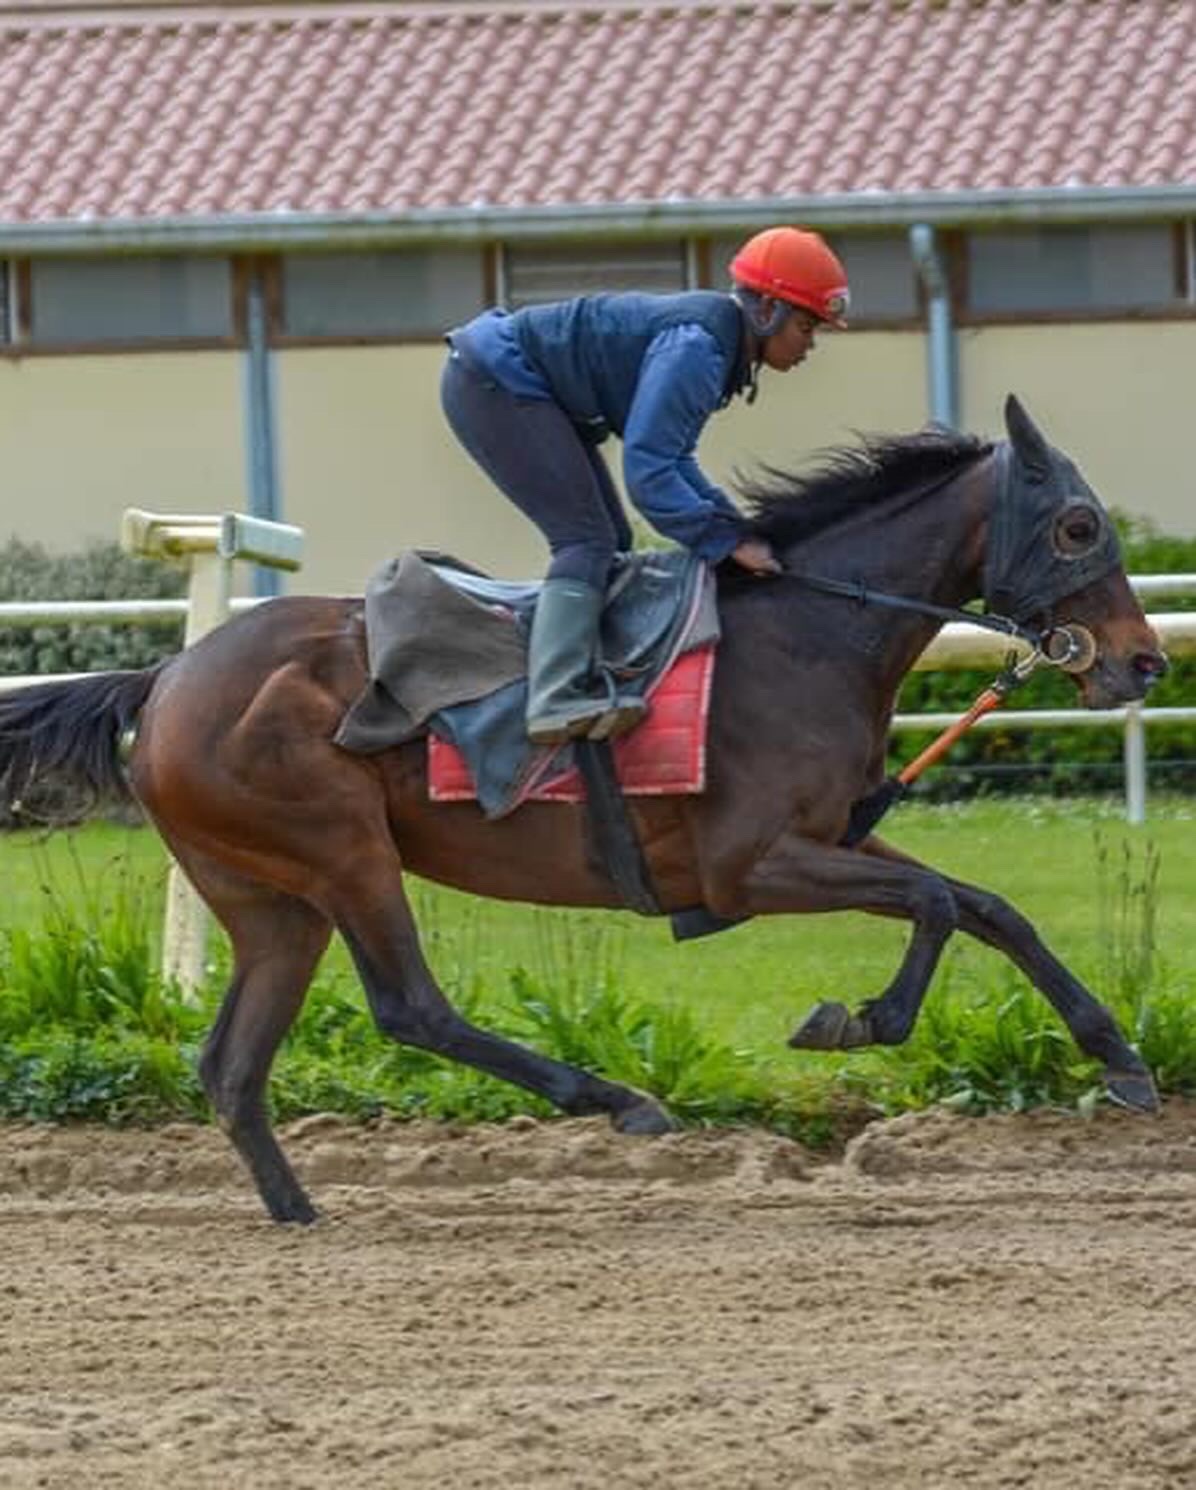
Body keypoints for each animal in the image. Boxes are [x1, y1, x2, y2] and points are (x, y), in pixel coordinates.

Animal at [0, 396, 1168, 1223]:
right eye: (1077, 525)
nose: (1143, 660)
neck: (804, 635)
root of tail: (164, 677)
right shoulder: (748, 866)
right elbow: (934, 902)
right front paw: (857, 1019)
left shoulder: (829, 832)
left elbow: (986, 906)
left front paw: (1119, 1057)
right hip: (340, 850)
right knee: (411, 1008)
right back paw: (619, 1100)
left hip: (268, 899)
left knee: (233, 1063)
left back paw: (298, 1209)